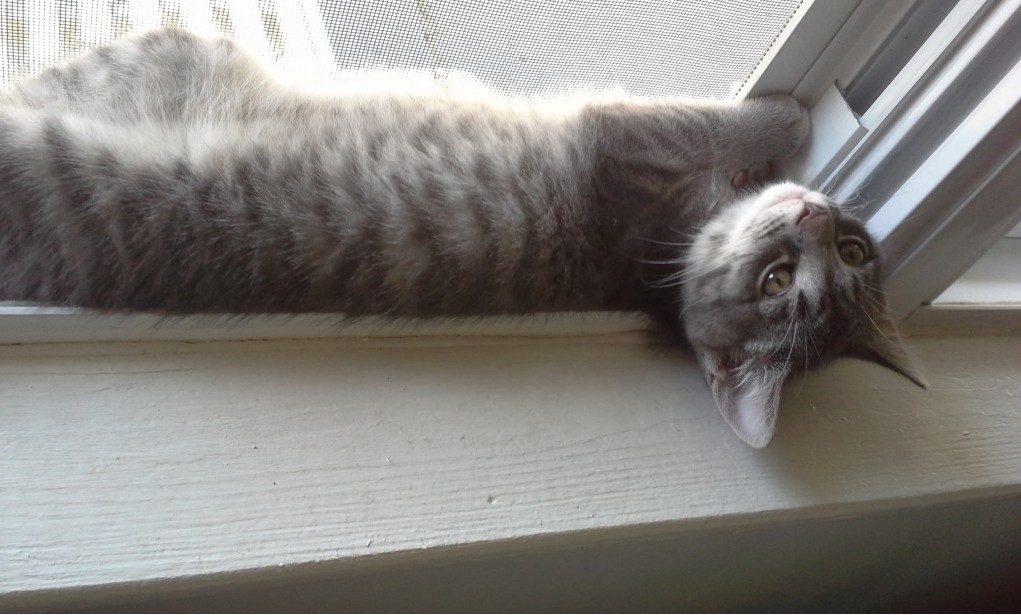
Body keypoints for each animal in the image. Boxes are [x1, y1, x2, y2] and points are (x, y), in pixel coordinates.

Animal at [0, 28, 927, 445]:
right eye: (783, 276)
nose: (815, 214)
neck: (658, 261)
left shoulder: (623, 139)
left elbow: (725, 121)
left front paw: (787, 113)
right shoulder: (632, 135)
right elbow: (728, 122)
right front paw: (791, 114)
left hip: (170, 56)